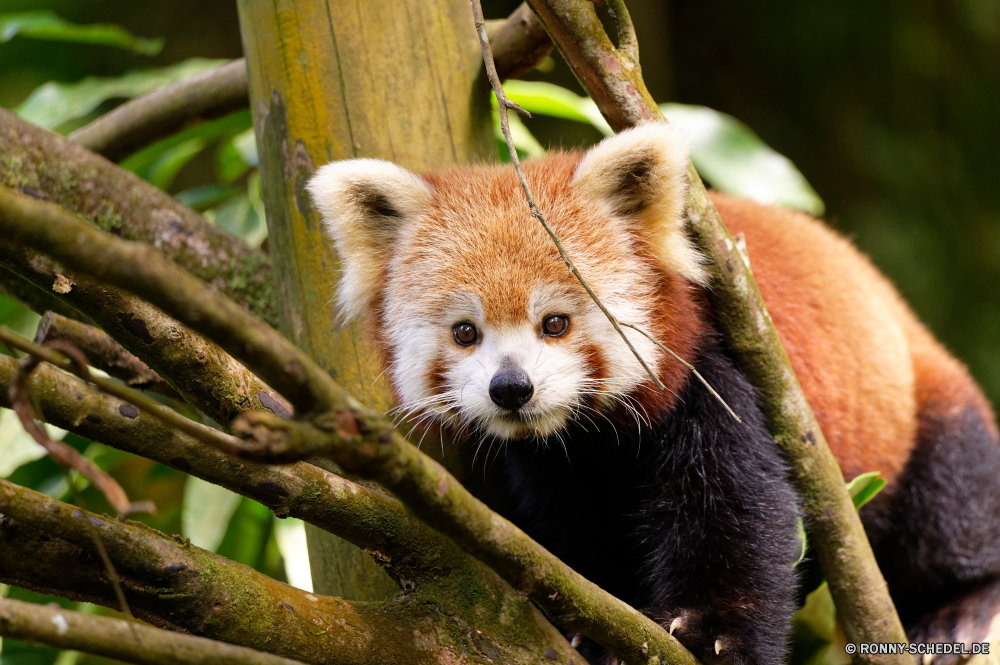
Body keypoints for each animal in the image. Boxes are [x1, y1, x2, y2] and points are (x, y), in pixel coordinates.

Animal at [308, 122, 1000, 660]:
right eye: (465, 333)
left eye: (554, 323)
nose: (511, 389)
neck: (586, 434)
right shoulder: (554, 466)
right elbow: (576, 535)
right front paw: (598, 635)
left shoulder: (714, 379)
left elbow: (737, 515)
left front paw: (715, 638)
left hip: (920, 408)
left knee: (950, 501)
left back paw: (961, 605)